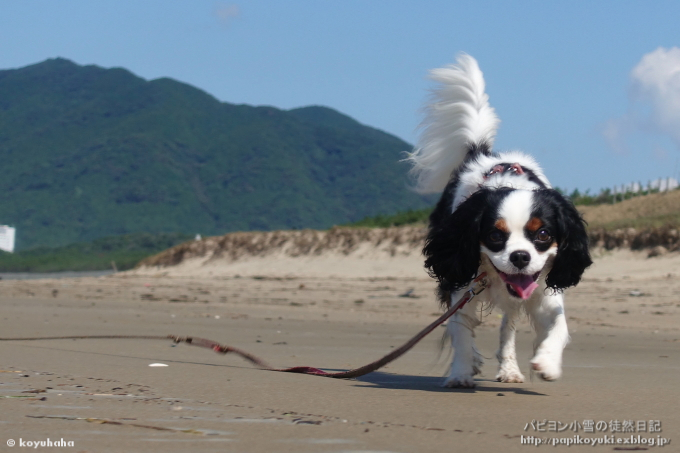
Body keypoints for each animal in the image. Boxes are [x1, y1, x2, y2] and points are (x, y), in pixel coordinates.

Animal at [406, 53, 592, 384]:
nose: (519, 256)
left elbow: (558, 325)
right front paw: (461, 372)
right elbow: (460, 331)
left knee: (508, 328)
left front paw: (547, 362)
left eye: (543, 235)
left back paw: (509, 369)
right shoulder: (460, 280)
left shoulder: (541, 289)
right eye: (494, 236)